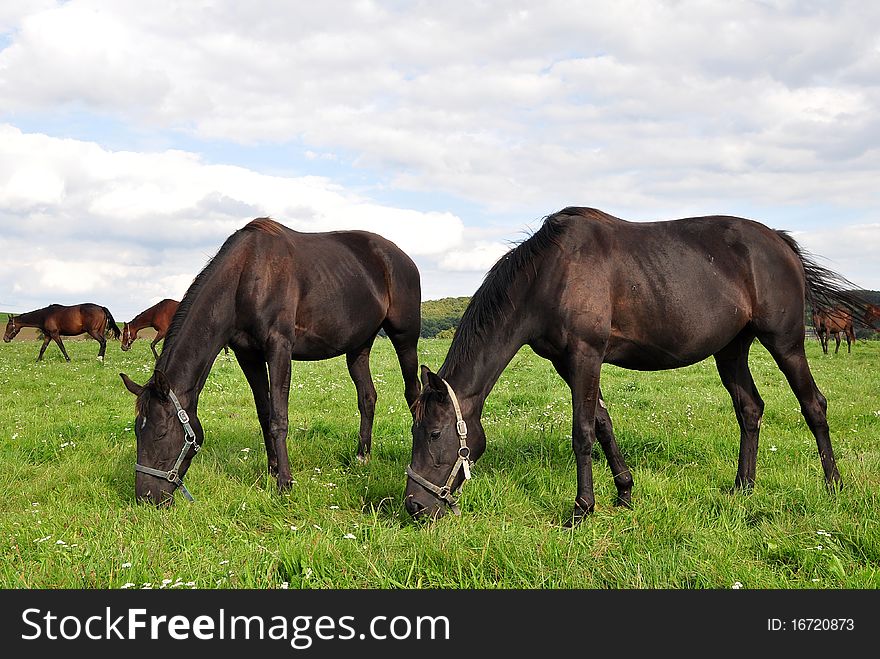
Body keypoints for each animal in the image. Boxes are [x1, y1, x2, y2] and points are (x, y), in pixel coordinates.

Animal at [118, 219, 422, 508]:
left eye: (161, 433)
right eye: (137, 431)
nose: (146, 497)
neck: (246, 276)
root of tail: (401, 257)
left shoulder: (279, 348)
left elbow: (278, 418)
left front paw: (285, 482)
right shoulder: (248, 354)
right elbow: (264, 414)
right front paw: (273, 471)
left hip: (405, 337)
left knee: (413, 394)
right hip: (358, 346)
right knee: (367, 397)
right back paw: (362, 456)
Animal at [404, 206, 868, 524]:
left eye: (435, 433)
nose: (414, 505)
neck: (551, 274)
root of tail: (780, 242)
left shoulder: (585, 356)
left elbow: (583, 431)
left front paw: (582, 508)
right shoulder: (567, 363)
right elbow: (603, 424)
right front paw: (624, 493)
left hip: (785, 344)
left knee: (814, 405)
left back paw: (833, 485)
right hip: (731, 350)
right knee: (750, 409)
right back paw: (743, 488)